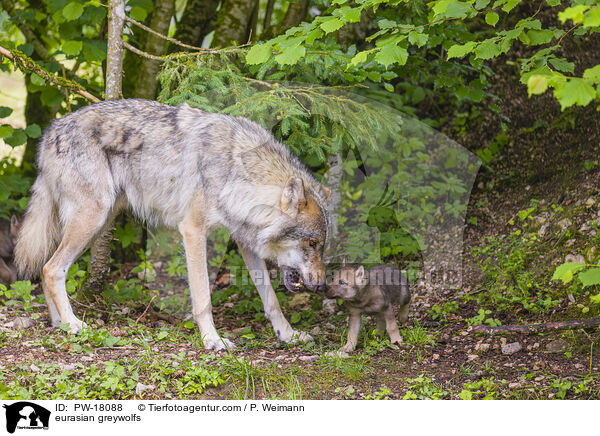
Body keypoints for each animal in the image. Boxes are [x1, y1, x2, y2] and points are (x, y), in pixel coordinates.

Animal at [15, 99, 332, 350]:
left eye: (321, 246)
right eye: (311, 243)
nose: (322, 286)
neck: (236, 170)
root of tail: (51, 130)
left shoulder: (244, 240)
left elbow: (271, 299)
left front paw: (288, 335)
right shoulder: (193, 231)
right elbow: (203, 297)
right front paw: (213, 340)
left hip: (99, 221)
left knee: (46, 268)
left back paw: (59, 324)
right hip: (92, 219)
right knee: (51, 268)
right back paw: (72, 324)